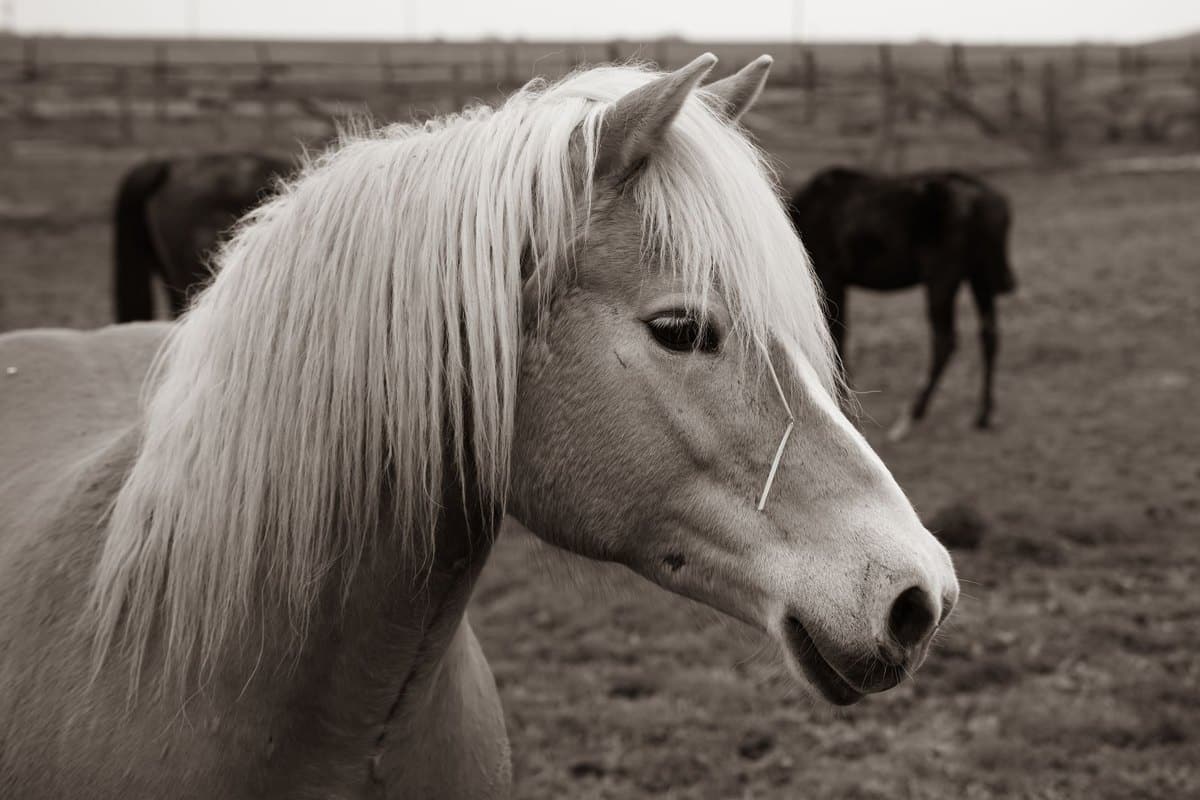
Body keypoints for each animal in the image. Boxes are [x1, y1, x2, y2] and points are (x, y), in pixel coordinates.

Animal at [787, 167, 1016, 437]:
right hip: (978, 278)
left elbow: (836, 338)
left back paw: (913, 413)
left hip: (943, 279)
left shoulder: (830, 278)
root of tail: (992, 203)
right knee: (989, 335)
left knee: (945, 341)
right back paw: (983, 414)